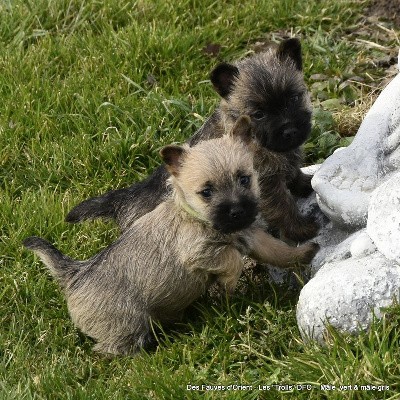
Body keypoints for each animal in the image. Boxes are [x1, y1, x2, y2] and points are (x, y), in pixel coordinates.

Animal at [24, 116, 318, 356]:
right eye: (206, 192)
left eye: (244, 179)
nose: (237, 211)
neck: (195, 217)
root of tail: (74, 275)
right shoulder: (202, 253)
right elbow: (232, 260)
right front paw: (228, 287)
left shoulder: (254, 238)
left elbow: (278, 251)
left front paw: (306, 252)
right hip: (125, 326)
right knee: (111, 348)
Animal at [65, 37, 316, 242]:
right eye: (259, 114)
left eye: (294, 98)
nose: (290, 131)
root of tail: (124, 200)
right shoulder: (267, 187)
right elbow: (284, 208)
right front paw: (303, 230)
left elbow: (294, 174)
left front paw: (306, 183)